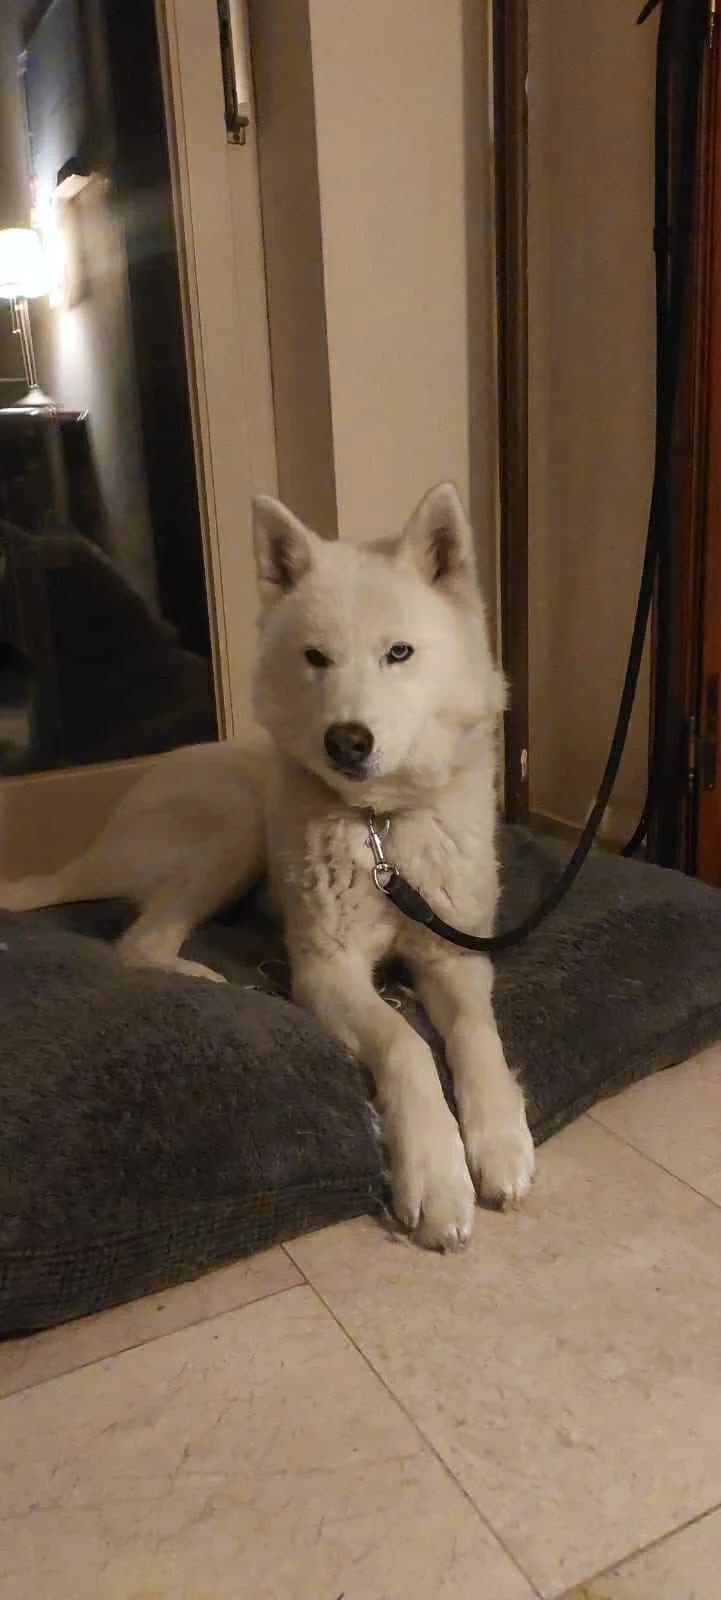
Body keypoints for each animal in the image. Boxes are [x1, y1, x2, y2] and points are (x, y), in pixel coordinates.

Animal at [1, 483, 535, 1250]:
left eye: (399, 653)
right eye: (316, 658)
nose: (346, 741)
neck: (380, 828)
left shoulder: (453, 953)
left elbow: (474, 1032)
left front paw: (498, 1138)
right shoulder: (326, 971)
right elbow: (404, 1043)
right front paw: (435, 1174)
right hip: (234, 831)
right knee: (137, 941)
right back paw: (207, 976)